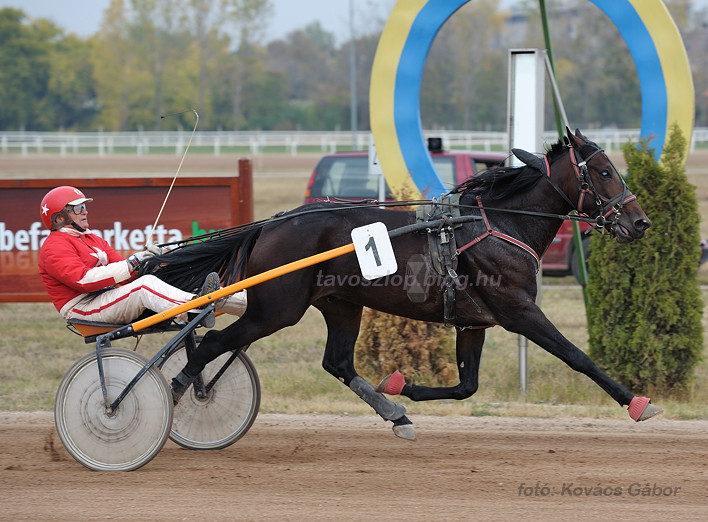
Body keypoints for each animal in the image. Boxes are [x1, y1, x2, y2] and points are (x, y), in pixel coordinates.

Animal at [144, 128, 664, 436]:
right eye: (604, 171)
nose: (640, 222)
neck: (499, 223)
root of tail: (271, 224)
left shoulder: (473, 322)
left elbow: (467, 386)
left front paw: (401, 386)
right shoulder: (519, 310)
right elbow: (578, 357)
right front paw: (637, 402)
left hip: (340, 303)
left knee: (336, 361)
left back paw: (395, 413)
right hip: (277, 309)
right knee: (213, 344)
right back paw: (181, 393)